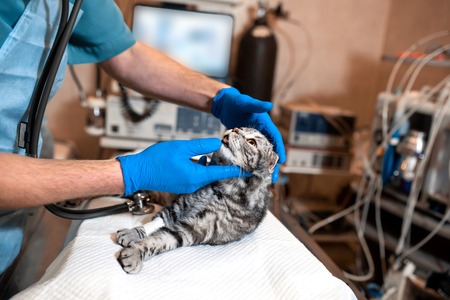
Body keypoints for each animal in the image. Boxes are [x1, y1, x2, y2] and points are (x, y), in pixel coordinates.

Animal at [116, 126, 278, 274]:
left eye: (251, 142)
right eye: (241, 127)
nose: (235, 129)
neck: (222, 189)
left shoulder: (193, 229)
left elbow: (159, 240)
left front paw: (134, 253)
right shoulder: (180, 205)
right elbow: (157, 221)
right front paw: (133, 233)